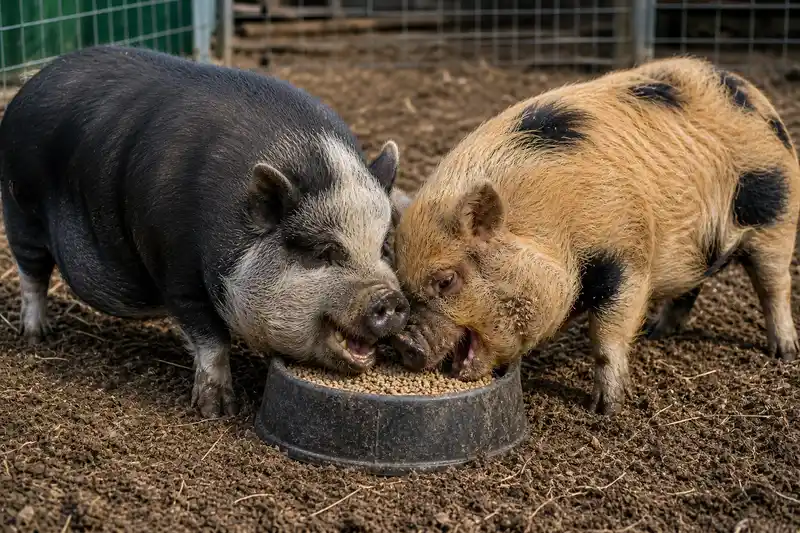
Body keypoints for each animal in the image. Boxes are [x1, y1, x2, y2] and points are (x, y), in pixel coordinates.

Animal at [0, 45, 410, 418]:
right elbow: (212, 339)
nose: (390, 298)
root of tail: (30, 84)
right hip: (20, 209)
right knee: (31, 274)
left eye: (384, 246)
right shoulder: (177, 270)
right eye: (324, 251)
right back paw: (37, 336)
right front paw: (217, 411)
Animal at [390, 56, 800, 415]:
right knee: (691, 286)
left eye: (446, 280)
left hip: (777, 216)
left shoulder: (626, 259)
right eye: (404, 285)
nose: (405, 342)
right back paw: (659, 332)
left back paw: (784, 351)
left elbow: (606, 336)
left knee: (774, 284)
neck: (550, 227)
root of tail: (754, 93)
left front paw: (605, 409)